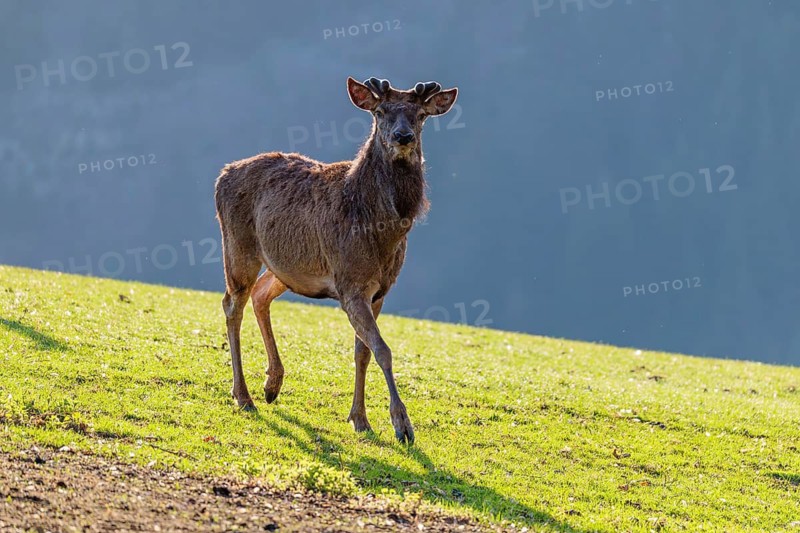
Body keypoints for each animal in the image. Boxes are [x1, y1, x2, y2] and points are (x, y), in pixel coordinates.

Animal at [214, 77, 458, 444]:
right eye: (380, 112)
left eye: (420, 115)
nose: (403, 136)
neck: (380, 230)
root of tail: (221, 175)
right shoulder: (350, 284)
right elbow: (383, 349)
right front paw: (402, 425)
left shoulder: (380, 291)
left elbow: (363, 351)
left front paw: (360, 419)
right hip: (238, 246)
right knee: (232, 303)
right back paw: (244, 397)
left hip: (285, 268)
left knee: (260, 295)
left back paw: (272, 385)